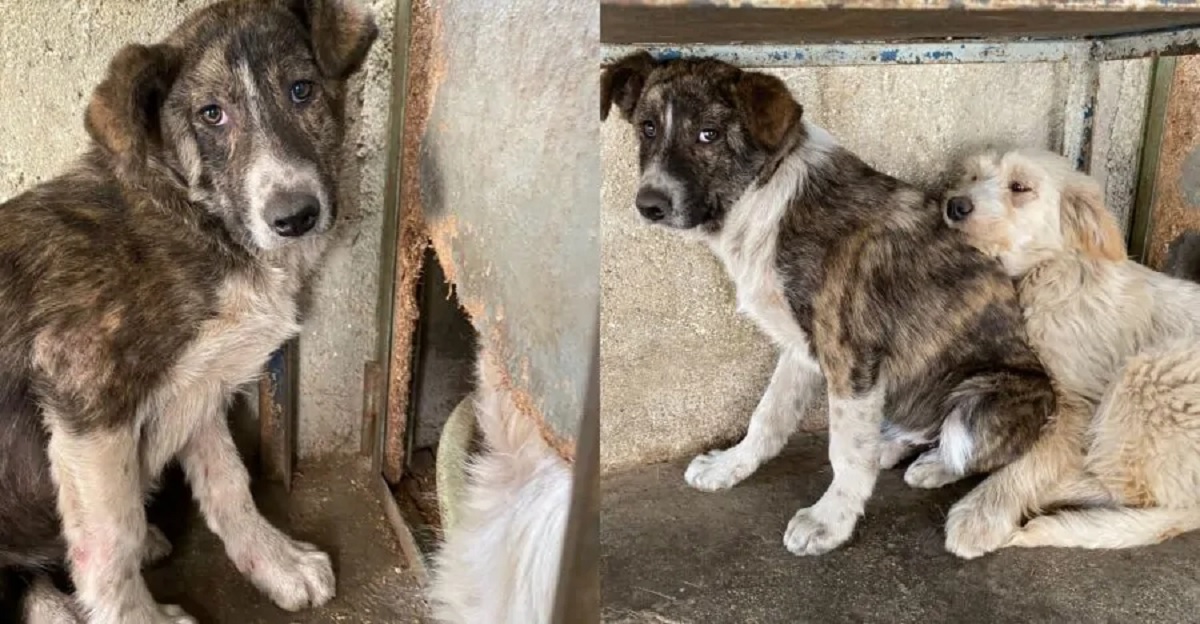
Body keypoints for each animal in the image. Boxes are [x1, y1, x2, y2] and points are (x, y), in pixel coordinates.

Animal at [0, 2, 374, 619]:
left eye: (301, 90)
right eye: (211, 114)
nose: (295, 216)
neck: (198, 219)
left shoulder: (201, 382)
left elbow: (229, 483)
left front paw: (275, 562)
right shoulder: (84, 391)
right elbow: (112, 540)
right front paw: (138, 616)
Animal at [604, 51, 1056, 554]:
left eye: (709, 134)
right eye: (647, 127)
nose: (650, 204)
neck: (766, 204)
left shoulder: (850, 358)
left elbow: (844, 452)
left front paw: (829, 522)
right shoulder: (800, 349)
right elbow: (768, 416)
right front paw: (730, 467)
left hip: (984, 400)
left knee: (961, 445)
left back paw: (932, 465)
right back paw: (890, 447)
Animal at [936, 148, 1200, 559]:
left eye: (1020, 187)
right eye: (974, 176)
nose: (954, 205)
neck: (1049, 272)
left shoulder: (1079, 404)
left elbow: (1035, 457)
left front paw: (981, 514)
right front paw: (940, 461)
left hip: (1149, 375)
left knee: (1132, 489)